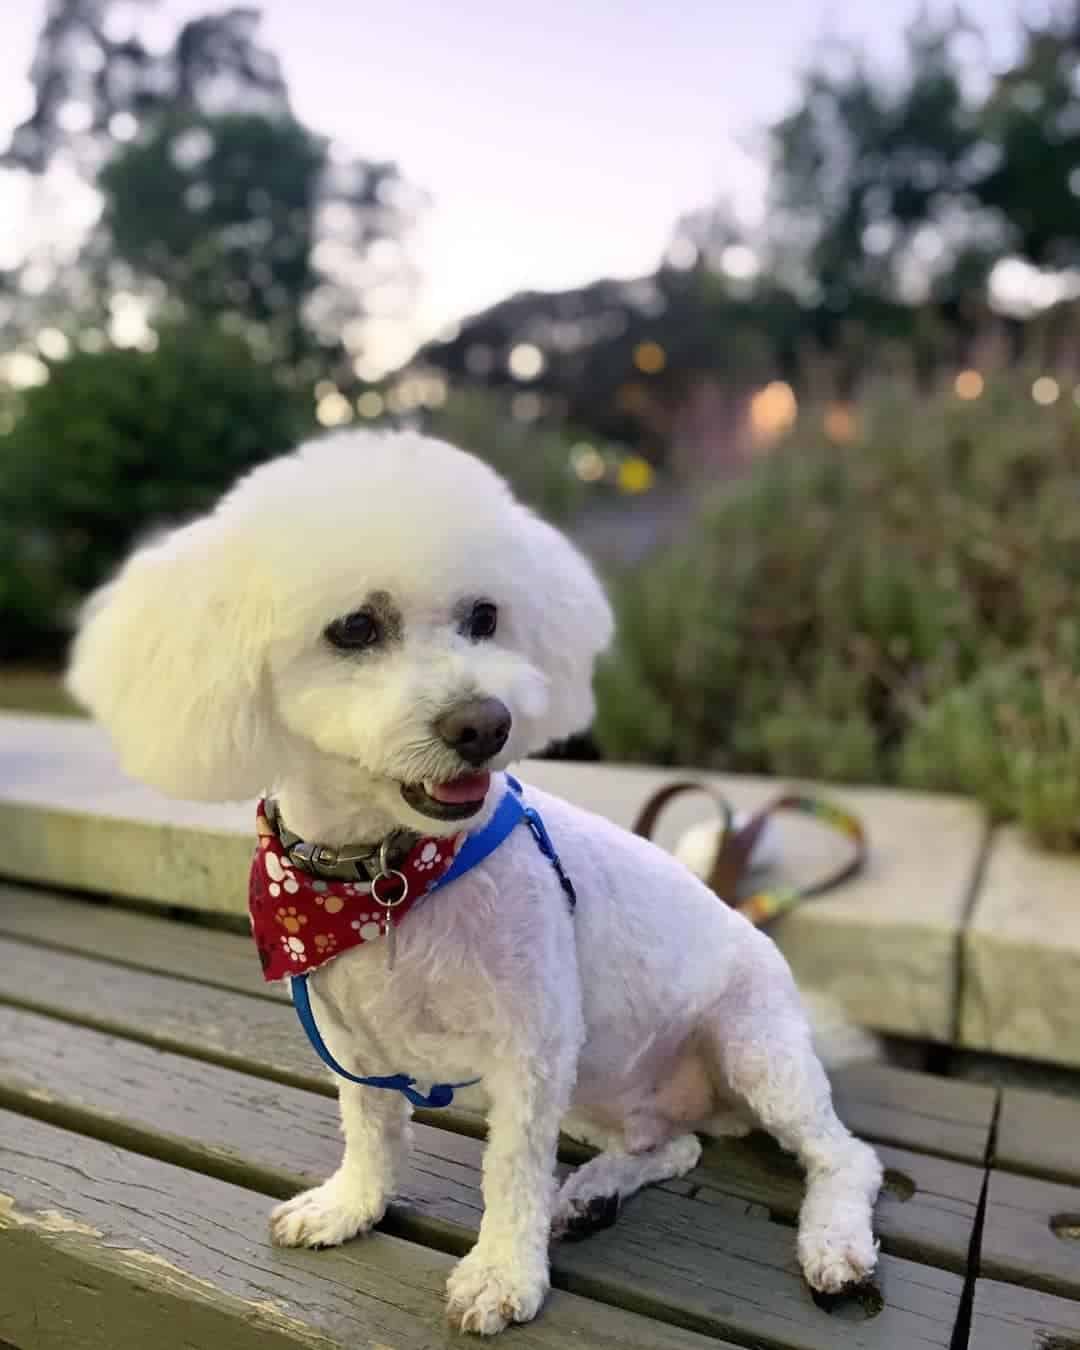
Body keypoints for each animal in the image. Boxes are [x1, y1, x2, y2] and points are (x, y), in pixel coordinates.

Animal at [71, 429, 885, 1328]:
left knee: (847, 1157)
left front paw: (501, 1274)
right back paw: (594, 1193)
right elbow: (370, 1129)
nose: (484, 724)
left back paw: (833, 1246)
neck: (383, 880)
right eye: (355, 627)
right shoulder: (355, 1044)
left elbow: (511, 1171)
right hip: (602, 1081)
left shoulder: (530, 1049)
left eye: (485, 618)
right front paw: (349, 1206)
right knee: (672, 1145)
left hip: (753, 1050)